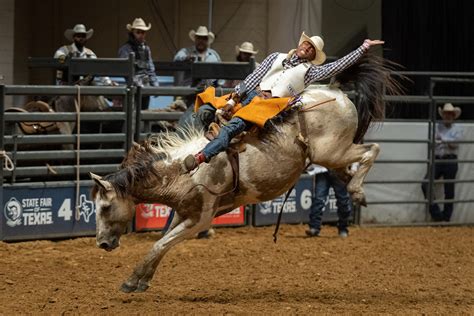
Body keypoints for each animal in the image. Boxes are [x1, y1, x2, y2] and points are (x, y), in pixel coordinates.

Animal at [89, 55, 400, 294]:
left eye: (104, 207)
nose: (102, 243)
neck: (183, 172)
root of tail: (337, 93)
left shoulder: (200, 218)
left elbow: (161, 242)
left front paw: (133, 281)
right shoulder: (183, 213)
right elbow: (163, 243)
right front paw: (140, 280)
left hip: (333, 151)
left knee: (372, 149)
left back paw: (358, 191)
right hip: (334, 158)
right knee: (353, 167)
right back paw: (357, 191)